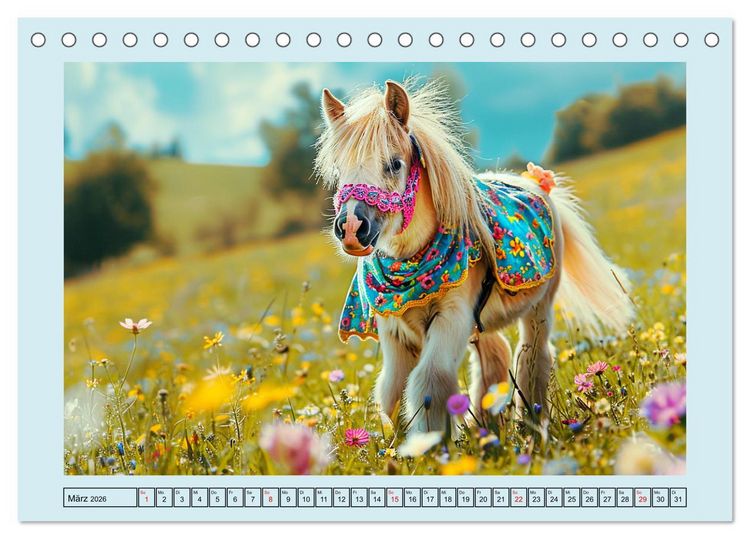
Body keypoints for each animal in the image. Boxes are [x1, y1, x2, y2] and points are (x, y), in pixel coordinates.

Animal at [314, 79, 633, 436]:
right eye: (339, 170)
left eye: (394, 164)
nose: (352, 229)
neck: (411, 266)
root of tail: (535, 183)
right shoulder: (395, 334)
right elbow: (392, 391)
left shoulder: (451, 318)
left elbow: (429, 383)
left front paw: (430, 443)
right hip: (480, 325)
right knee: (495, 358)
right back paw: (487, 424)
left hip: (538, 309)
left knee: (532, 357)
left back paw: (530, 420)